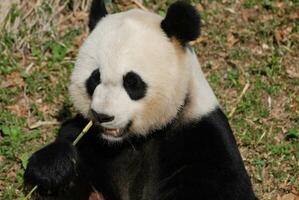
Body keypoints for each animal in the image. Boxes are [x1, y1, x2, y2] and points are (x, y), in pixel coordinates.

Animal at [24, 0, 258, 199]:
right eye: (94, 78)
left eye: (132, 82)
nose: (102, 116)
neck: (132, 141)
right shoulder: (90, 143)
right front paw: (54, 167)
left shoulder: (203, 138)